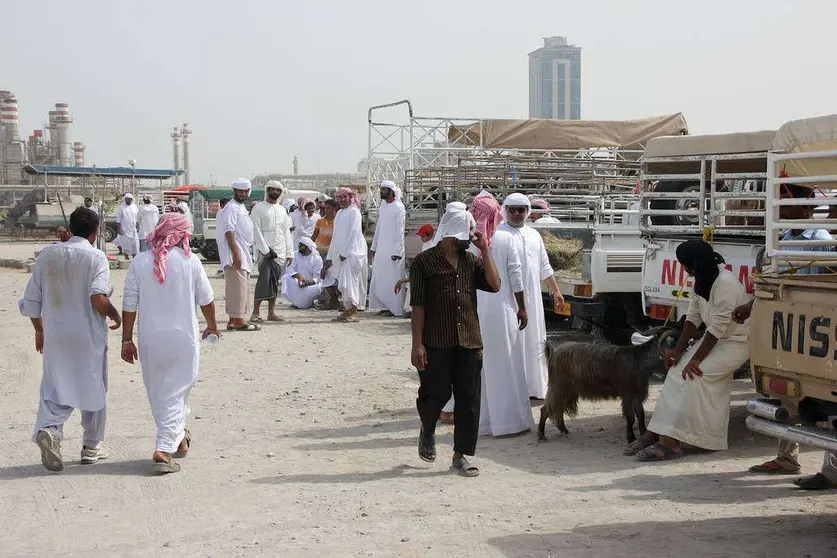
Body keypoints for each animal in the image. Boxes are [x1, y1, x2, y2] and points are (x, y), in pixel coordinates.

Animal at [536, 328, 680, 446]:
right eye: (673, 341)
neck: (639, 359)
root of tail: (552, 353)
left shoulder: (637, 394)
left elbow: (641, 414)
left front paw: (643, 435)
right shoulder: (628, 394)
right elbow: (630, 417)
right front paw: (631, 438)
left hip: (568, 390)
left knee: (558, 408)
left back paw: (563, 429)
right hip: (559, 386)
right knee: (546, 409)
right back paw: (542, 435)